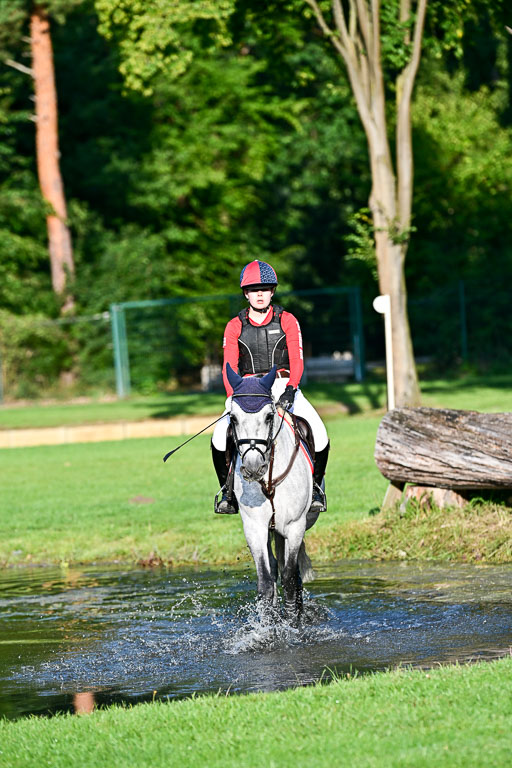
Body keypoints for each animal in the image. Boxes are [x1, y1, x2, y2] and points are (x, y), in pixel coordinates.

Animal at [225, 363, 315, 624]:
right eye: (233, 418)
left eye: (268, 416)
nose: (254, 467)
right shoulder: (254, 527)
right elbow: (265, 582)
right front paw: (267, 628)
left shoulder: (295, 526)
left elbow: (290, 579)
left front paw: (294, 626)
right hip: (270, 530)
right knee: (275, 569)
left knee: (289, 573)